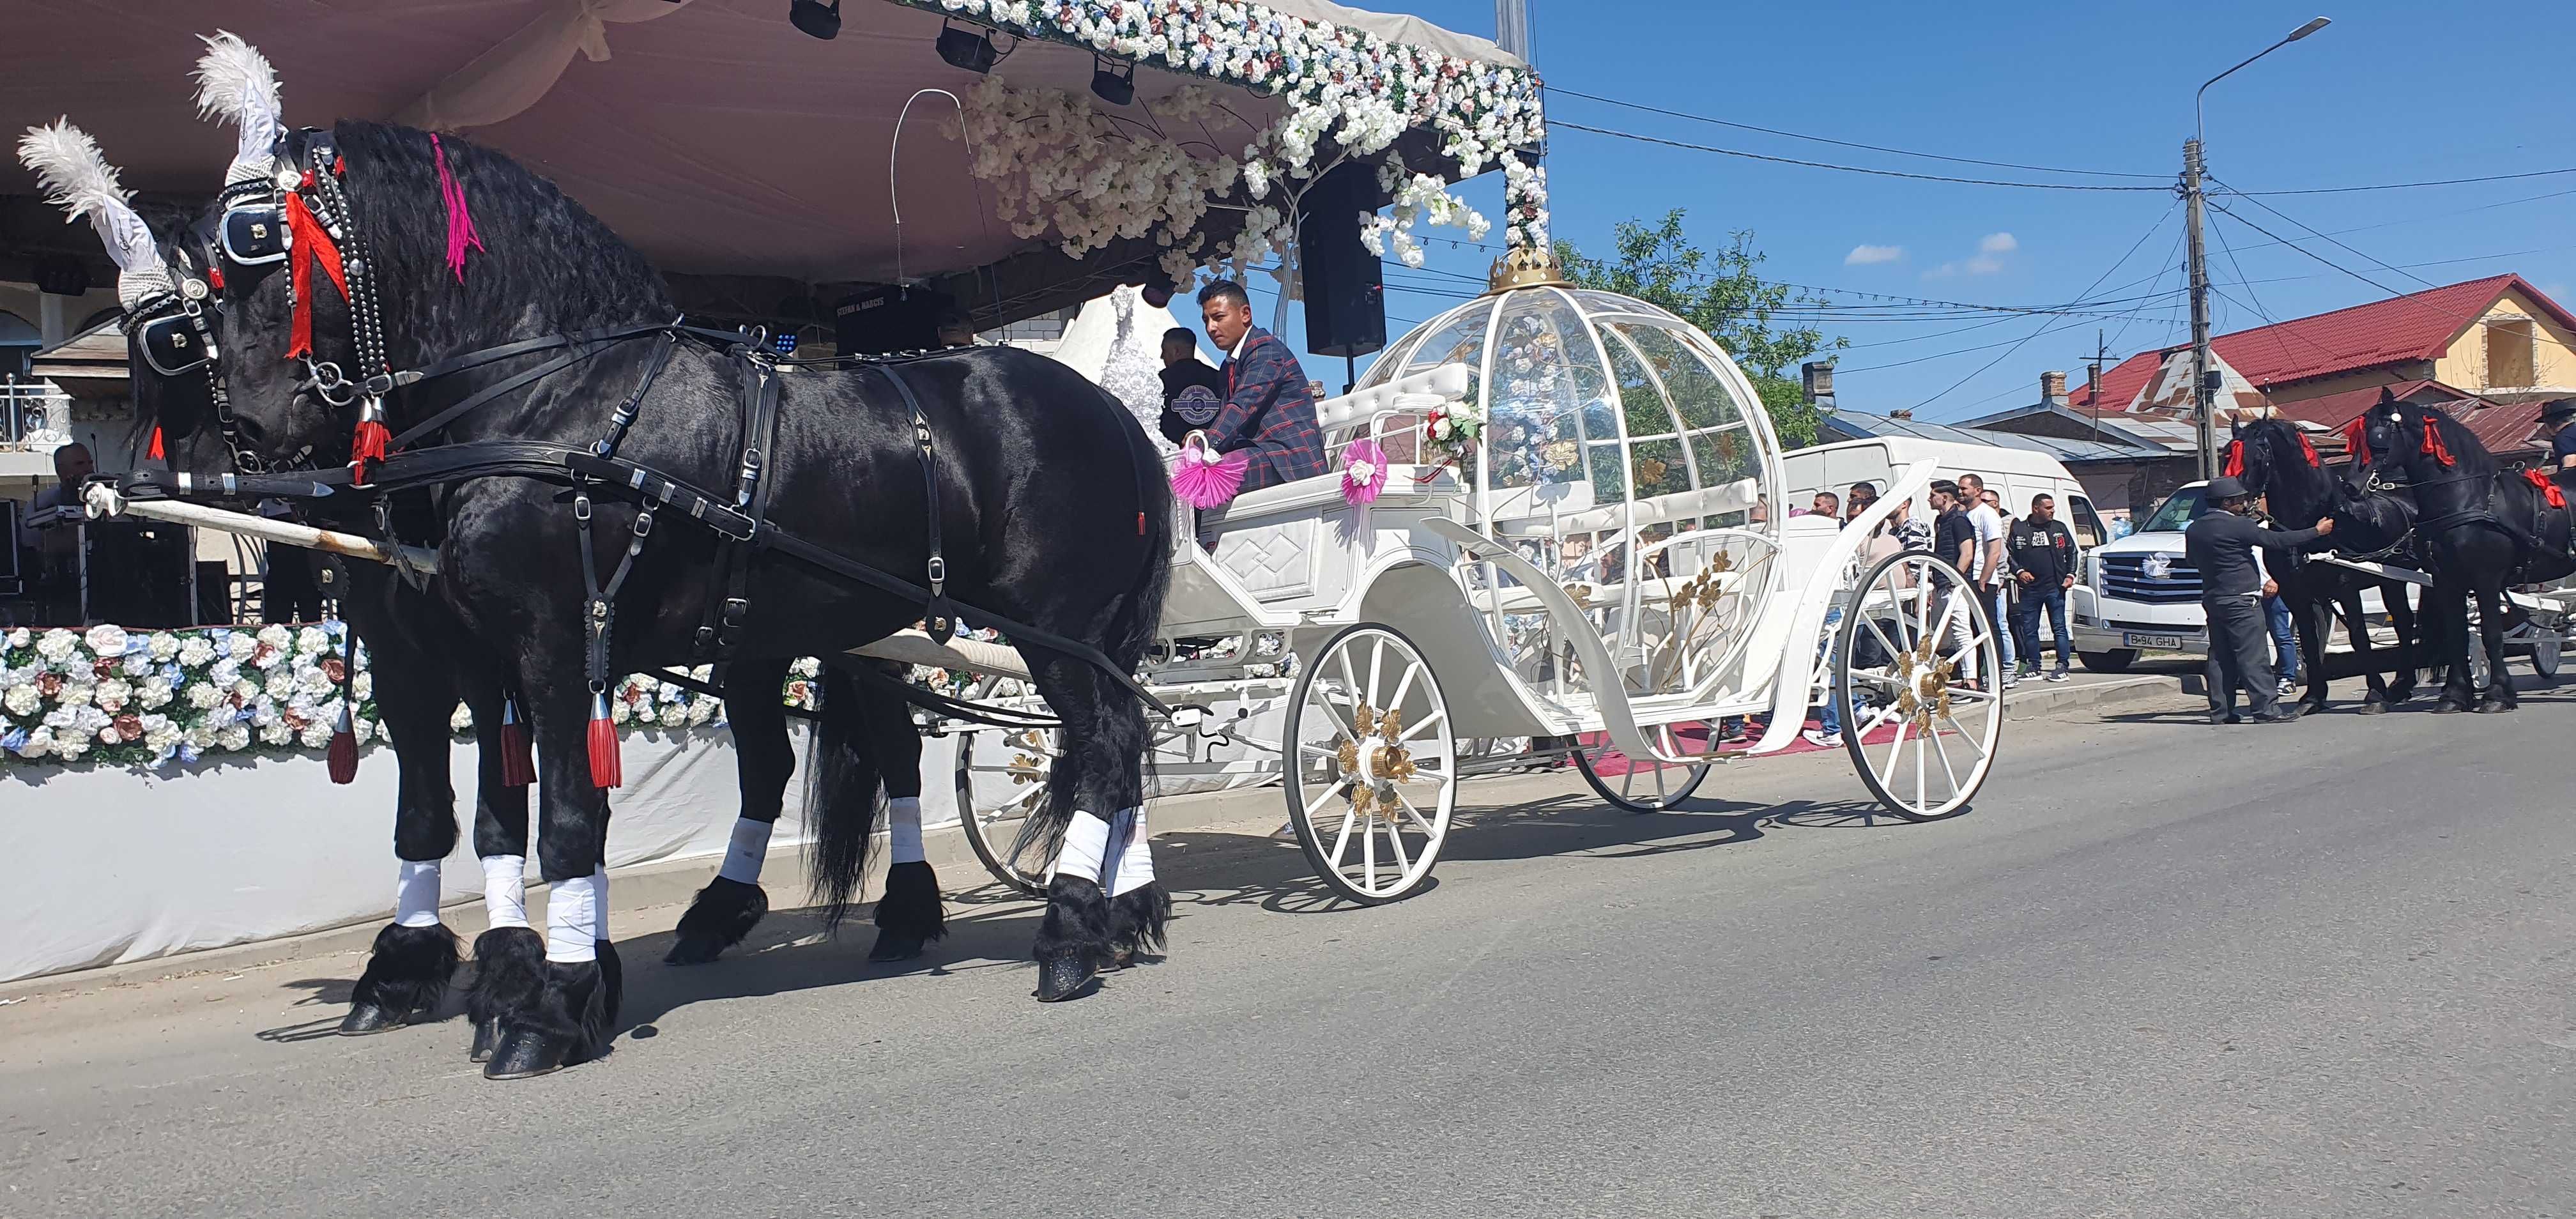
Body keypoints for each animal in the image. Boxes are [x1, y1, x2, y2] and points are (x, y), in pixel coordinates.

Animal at [155, 116, 1174, 1072]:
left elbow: (566, 825)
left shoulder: (555, 647)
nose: (249, 430)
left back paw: (1071, 931)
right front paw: (516, 977)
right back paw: (1109, 914)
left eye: (259, 243)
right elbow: (483, 819)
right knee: (1087, 748)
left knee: (1102, 745)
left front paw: (547, 1008)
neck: (557, 397)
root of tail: (1112, 413)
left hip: (1053, 630)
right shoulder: (481, 660)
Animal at [2225, 415, 2421, 711]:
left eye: (2257, 458)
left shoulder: (2346, 590)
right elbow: (2307, 640)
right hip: (2392, 582)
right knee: (2402, 620)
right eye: (2227, 454)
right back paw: (2402, 685)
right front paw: (2313, 698)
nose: (2237, 506)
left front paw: (2375, 694)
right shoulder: (2296, 594)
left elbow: (2359, 637)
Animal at [2359, 394, 2576, 706]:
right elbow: (2457, 635)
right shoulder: (2447, 581)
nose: (2351, 485)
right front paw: (2455, 694)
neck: (2468, 499)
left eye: (2379, 434)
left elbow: (2492, 634)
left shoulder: (2486, 579)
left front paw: (2497, 694)